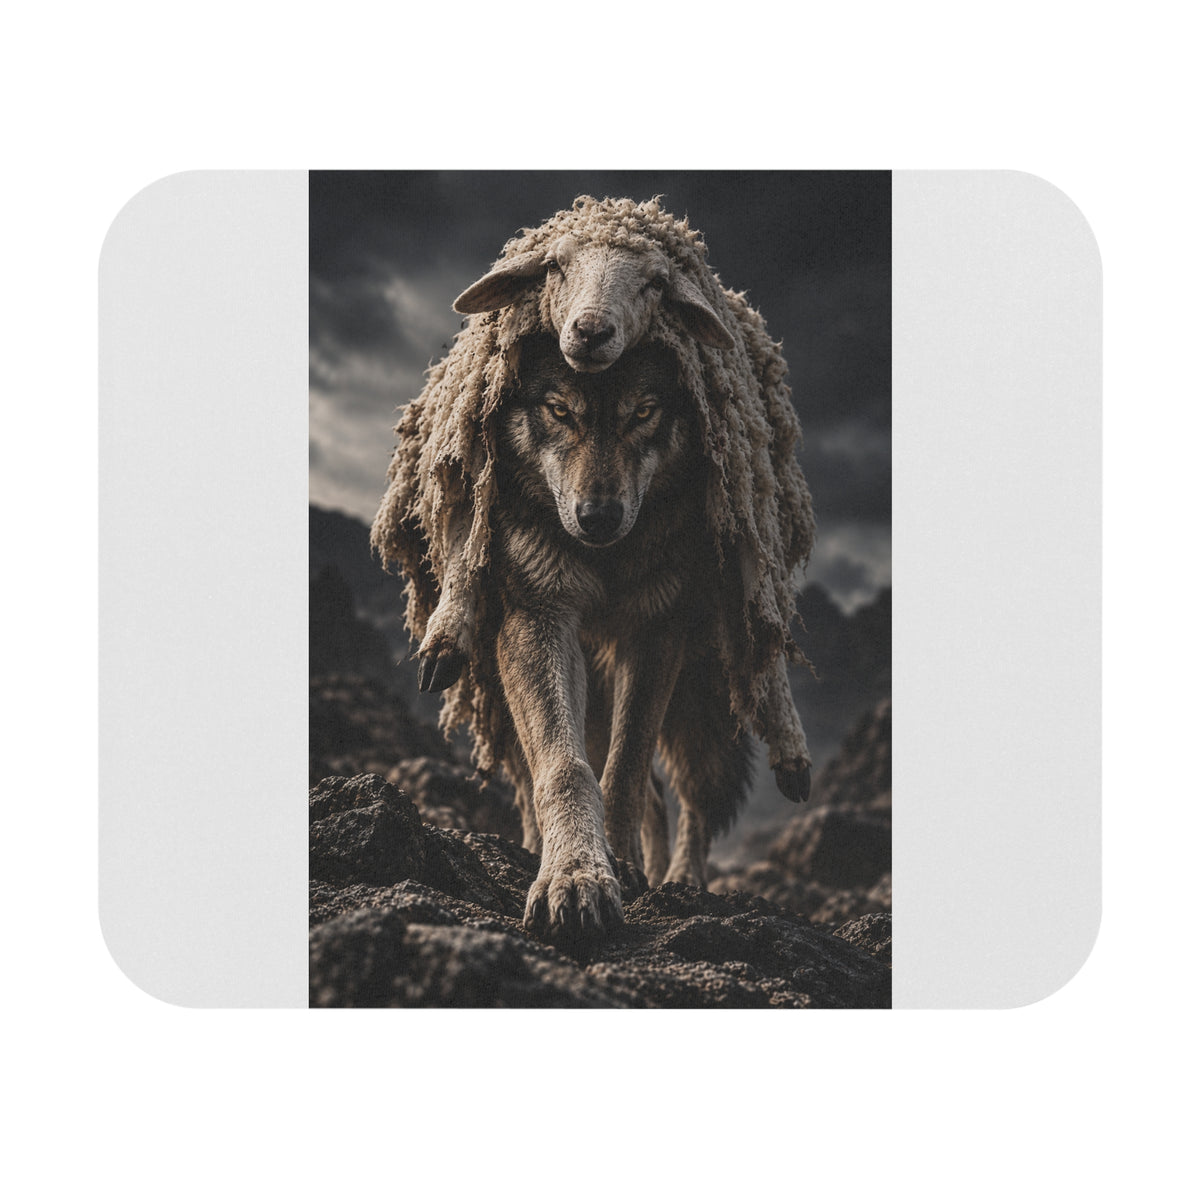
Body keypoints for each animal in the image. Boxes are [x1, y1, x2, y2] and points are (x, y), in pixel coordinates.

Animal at [424, 332, 763, 945]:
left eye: (643, 413)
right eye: (560, 411)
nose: (598, 517)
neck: (606, 560)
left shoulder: (654, 634)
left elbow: (625, 767)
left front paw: (614, 866)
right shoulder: (537, 619)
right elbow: (567, 769)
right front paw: (574, 874)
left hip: (698, 695)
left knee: (694, 795)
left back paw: (681, 878)